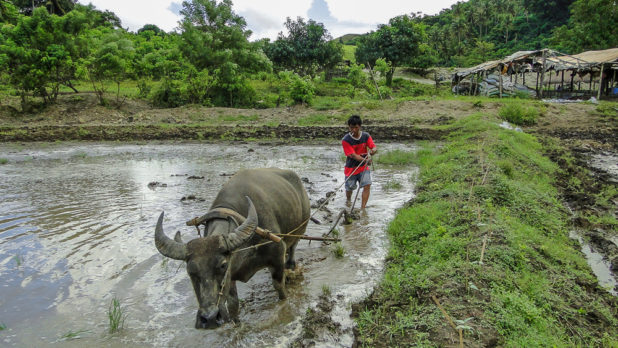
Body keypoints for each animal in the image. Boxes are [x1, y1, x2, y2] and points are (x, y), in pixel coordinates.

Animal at [154, 169, 308, 328]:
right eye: (190, 271)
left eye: (223, 265)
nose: (209, 318)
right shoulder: (231, 277)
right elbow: (233, 303)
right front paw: (236, 323)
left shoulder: (277, 256)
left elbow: (279, 288)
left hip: (300, 229)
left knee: (293, 247)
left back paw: (290, 264)